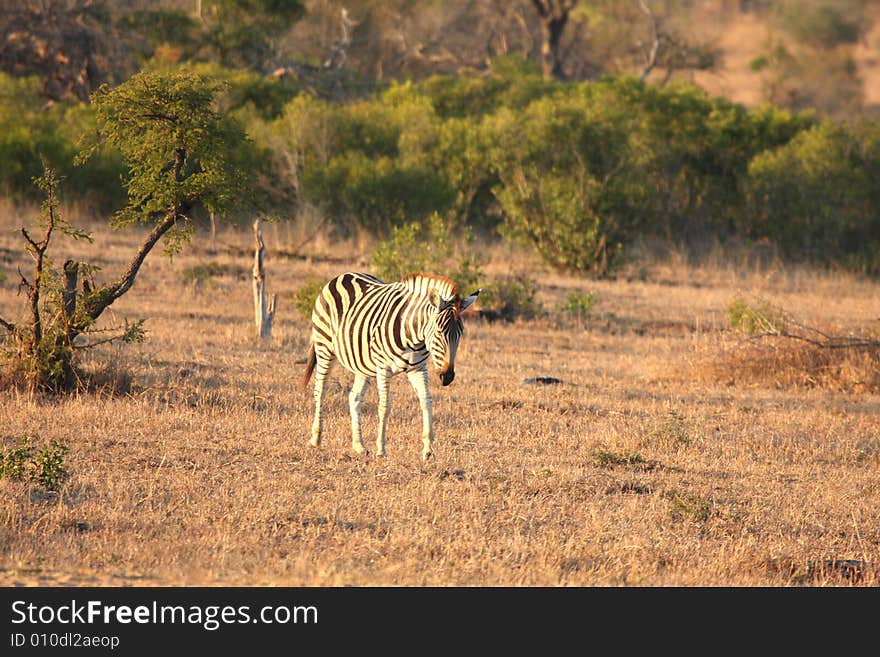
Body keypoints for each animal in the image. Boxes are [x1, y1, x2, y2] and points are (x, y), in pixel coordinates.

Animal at [302, 272, 482, 462]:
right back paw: (316, 439)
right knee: (320, 391)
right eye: (439, 332)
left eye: (460, 334)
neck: (414, 335)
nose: (447, 377)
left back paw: (359, 446)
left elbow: (426, 402)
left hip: (362, 364)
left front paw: (428, 449)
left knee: (354, 397)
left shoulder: (418, 369)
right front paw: (381, 449)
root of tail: (342, 276)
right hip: (324, 348)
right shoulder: (384, 368)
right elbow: (385, 406)